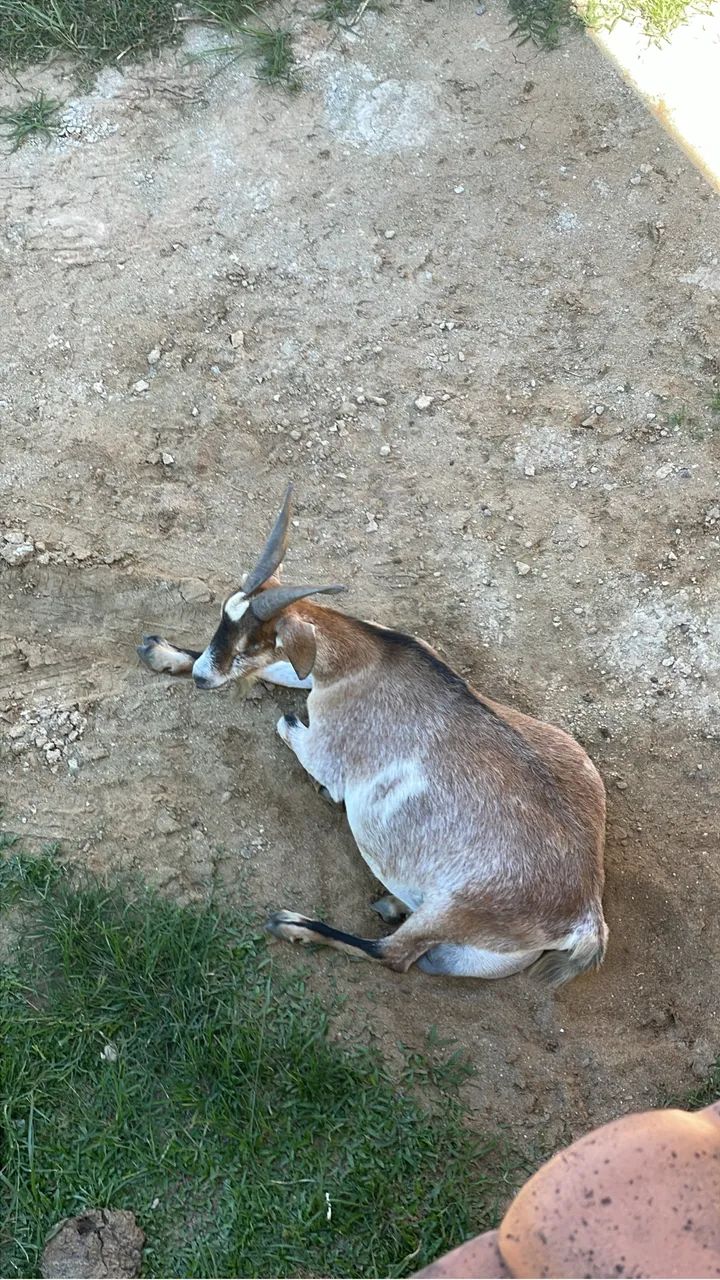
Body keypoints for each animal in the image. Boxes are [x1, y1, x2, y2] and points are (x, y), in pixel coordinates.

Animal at [137, 486, 608, 986]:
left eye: (252, 643)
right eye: (223, 618)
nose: (204, 677)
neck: (373, 659)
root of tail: (586, 916)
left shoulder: (326, 750)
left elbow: (286, 722)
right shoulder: (315, 676)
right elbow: (282, 674)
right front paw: (162, 652)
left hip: (453, 907)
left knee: (394, 955)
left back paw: (294, 924)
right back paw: (392, 903)